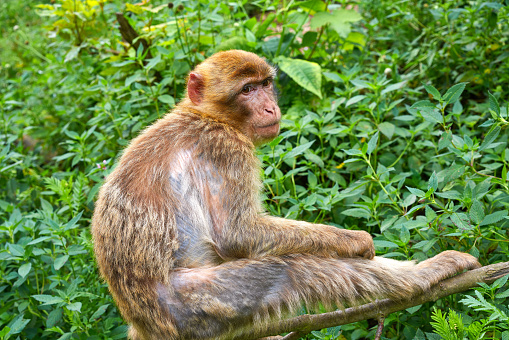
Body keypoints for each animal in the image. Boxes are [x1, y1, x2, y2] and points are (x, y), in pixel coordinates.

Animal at [92, 49, 480, 338]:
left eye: (265, 84)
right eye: (247, 90)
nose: (270, 107)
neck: (209, 116)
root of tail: (144, 321)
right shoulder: (228, 150)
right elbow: (236, 234)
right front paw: (355, 241)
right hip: (195, 305)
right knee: (289, 269)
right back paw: (426, 275)